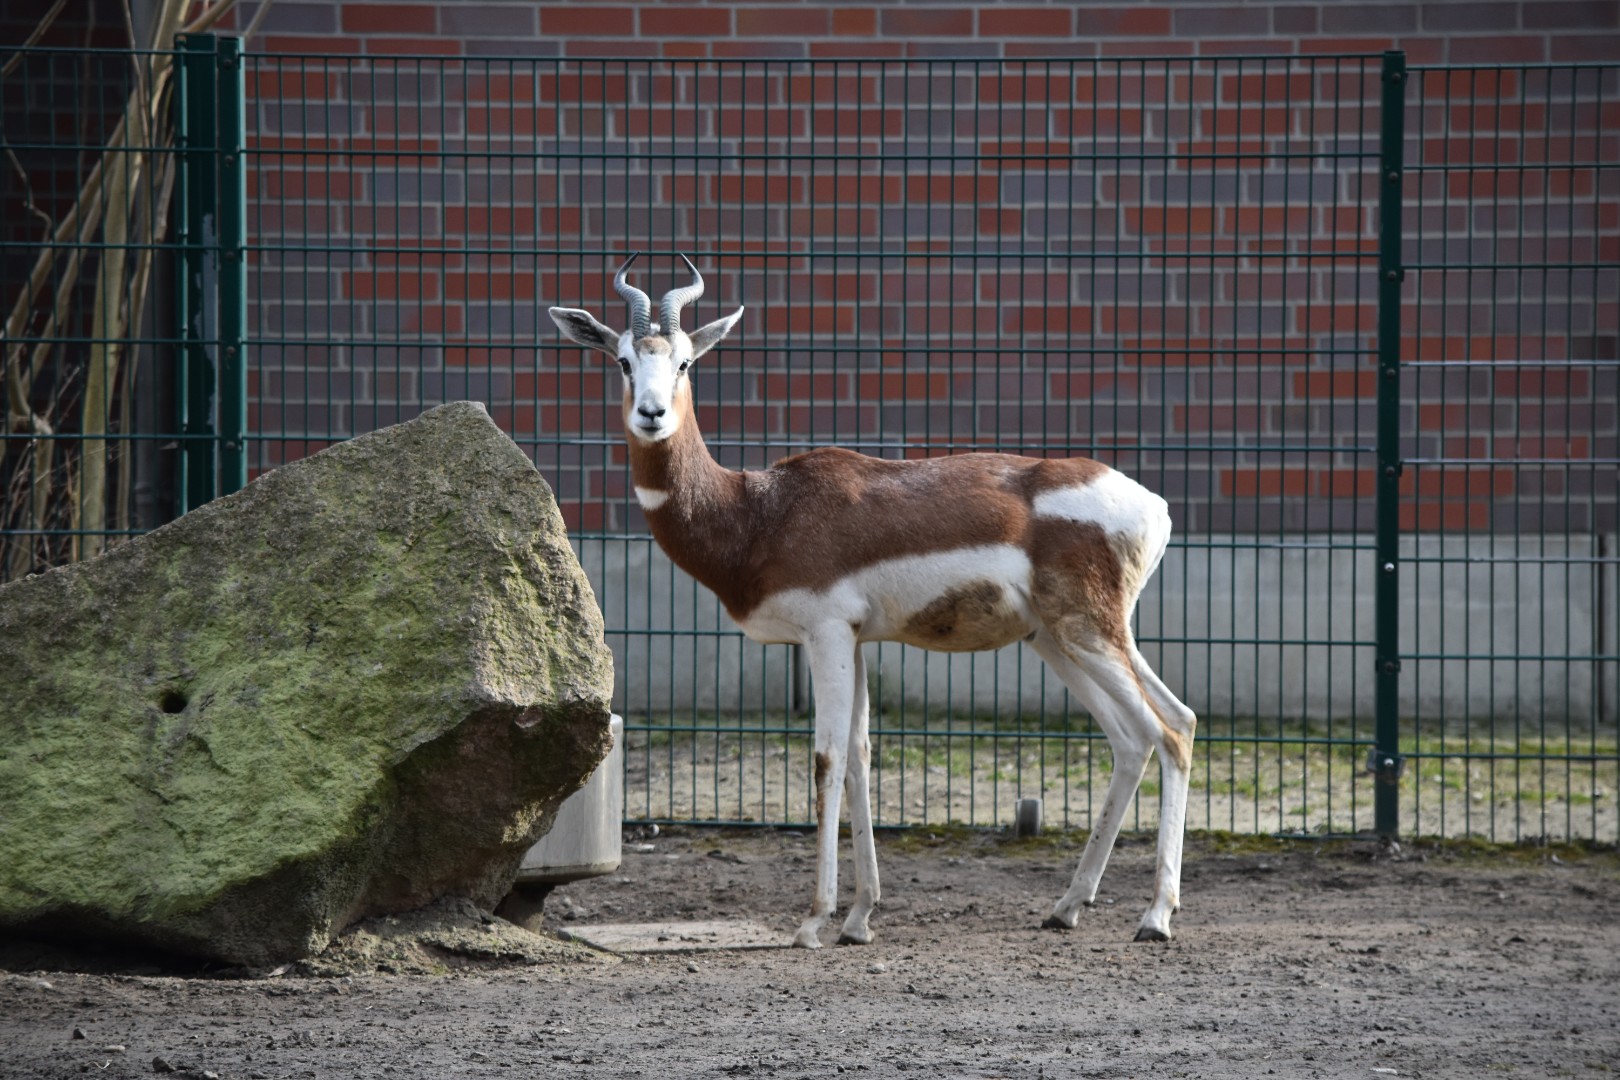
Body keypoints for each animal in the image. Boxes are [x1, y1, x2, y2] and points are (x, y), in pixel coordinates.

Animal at [549, 254, 1197, 947]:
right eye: (623, 360)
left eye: (685, 362)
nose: (650, 415)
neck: (758, 513)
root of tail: (1153, 506)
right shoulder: (856, 639)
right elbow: (860, 757)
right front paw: (860, 917)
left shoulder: (826, 633)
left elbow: (827, 758)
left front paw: (814, 919)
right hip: (1059, 638)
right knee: (1141, 735)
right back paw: (1069, 905)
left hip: (1089, 632)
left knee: (1168, 729)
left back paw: (1155, 916)